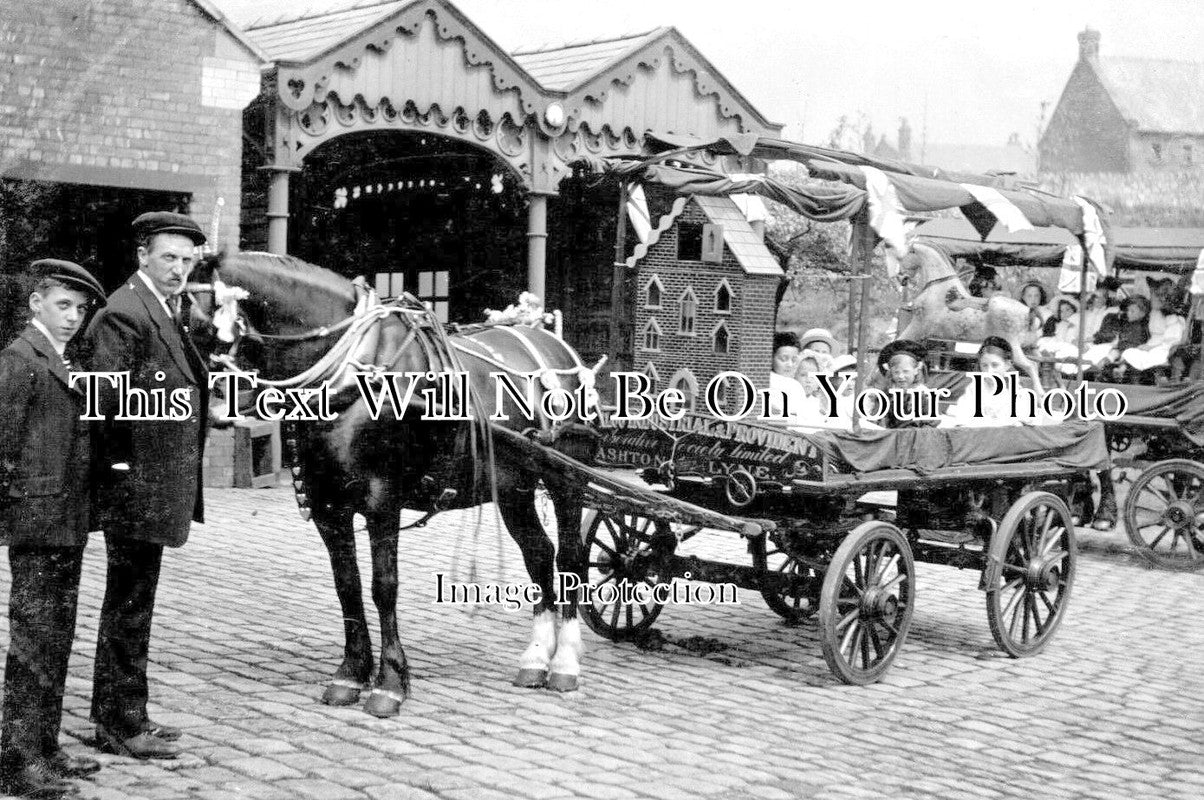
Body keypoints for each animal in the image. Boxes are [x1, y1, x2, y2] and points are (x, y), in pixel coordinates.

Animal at [190, 253, 599, 713]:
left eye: (203, 326)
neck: (353, 371)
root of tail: (555, 345)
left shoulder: (381, 500)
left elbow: (383, 587)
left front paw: (389, 682)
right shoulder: (328, 505)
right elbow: (347, 587)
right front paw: (350, 674)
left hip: (567, 480)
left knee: (570, 559)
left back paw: (564, 662)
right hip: (515, 487)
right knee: (539, 554)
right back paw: (536, 658)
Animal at [895, 242, 1045, 387]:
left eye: (904, 256)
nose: (901, 278)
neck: (940, 291)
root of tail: (1029, 312)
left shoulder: (918, 328)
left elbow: (898, 341)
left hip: (1014, 347)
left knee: (1030, 366)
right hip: (1031, 347)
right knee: (1038, 364)